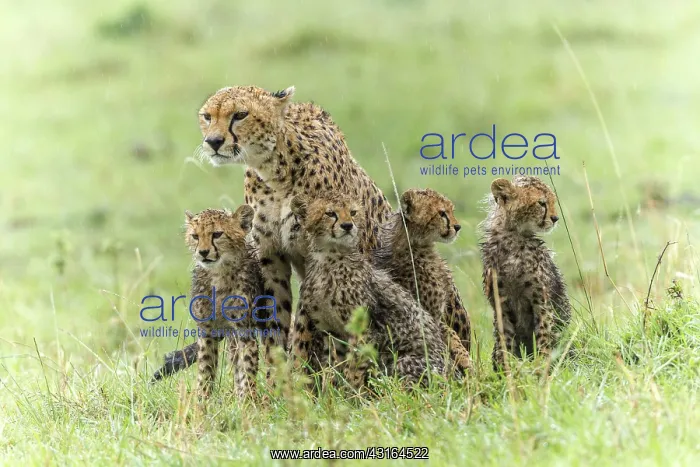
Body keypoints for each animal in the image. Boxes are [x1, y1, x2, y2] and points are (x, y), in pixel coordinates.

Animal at [196, 85, 393, 357]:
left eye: (240, 115)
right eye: (207, 117)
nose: (213, 142)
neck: (275, 170)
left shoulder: (317, 258)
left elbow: (304, 324)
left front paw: (298, 365)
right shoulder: (271, 255)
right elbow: (274, 317)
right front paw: (275, 367)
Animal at [289, 193, 447, 390]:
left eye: (353, 212)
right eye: (330, 213)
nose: (347, 225)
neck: (329, 257)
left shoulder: (365, 330)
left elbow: (354, 366)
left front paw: (351, 393)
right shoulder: (332, 332)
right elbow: (334, 367)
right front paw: (332, 393)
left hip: (404, 364)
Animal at [374, 188, 473, 375]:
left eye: (451, 210)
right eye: (442, 213)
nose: (458, 227)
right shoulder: (428, 315)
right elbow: (447, 334)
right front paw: (465, 360)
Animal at [479, 175, 571, 371]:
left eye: (553, 201)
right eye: (541, 203)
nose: (555, 218)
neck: (513, 237)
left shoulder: (541, 300)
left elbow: (544, 332)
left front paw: (542, 364)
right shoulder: (500, 303)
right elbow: (504, 339)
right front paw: (505, 369)